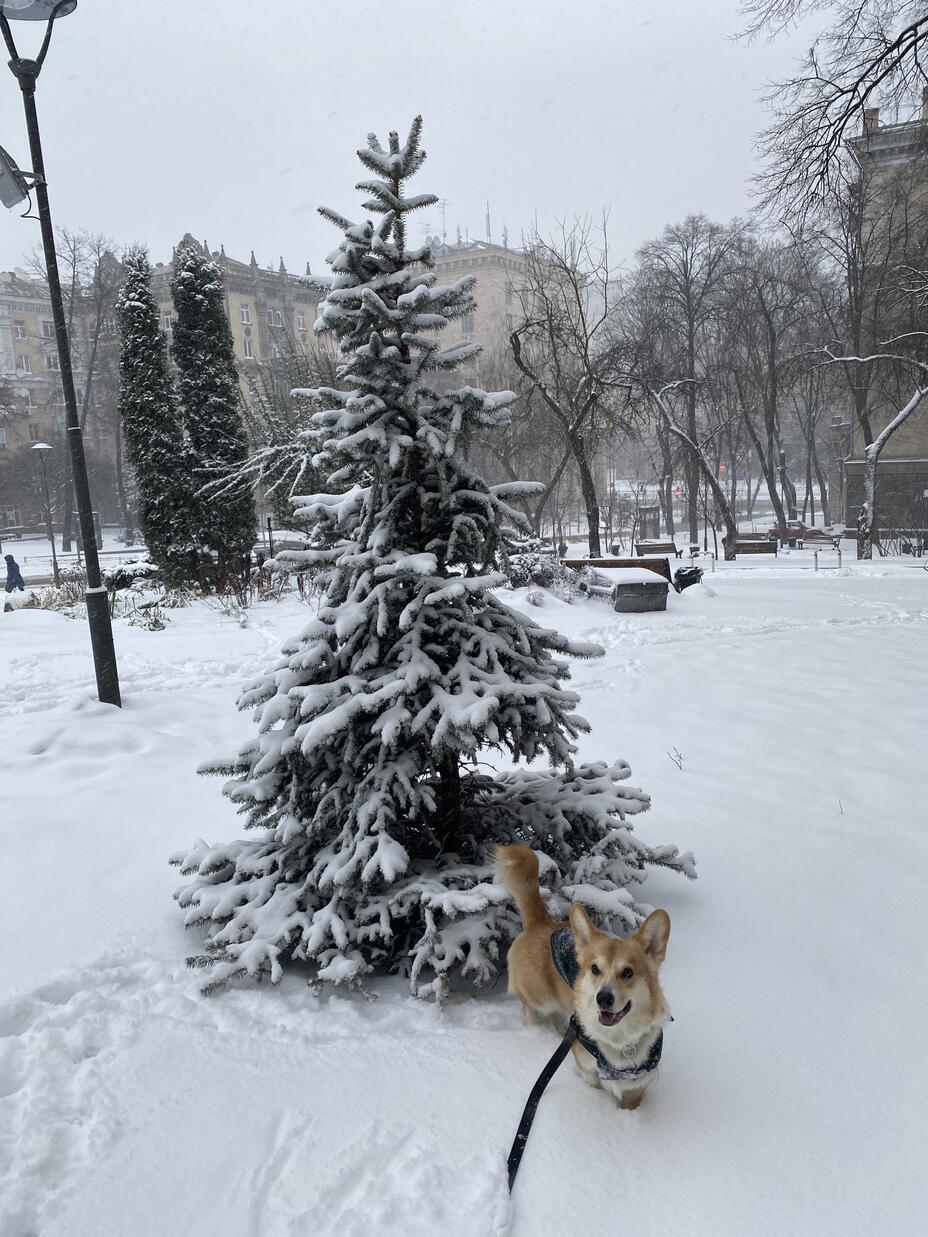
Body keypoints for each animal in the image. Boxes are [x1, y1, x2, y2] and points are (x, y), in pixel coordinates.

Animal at [497, 846, 673, 1108]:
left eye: (628, 972)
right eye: (594, 969)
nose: (603, 998)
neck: (620, 1041)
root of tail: (541, 922)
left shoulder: (639, 1081)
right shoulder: (588, 1069)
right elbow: (595, 1086)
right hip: (538, 998)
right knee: (531, 1008)